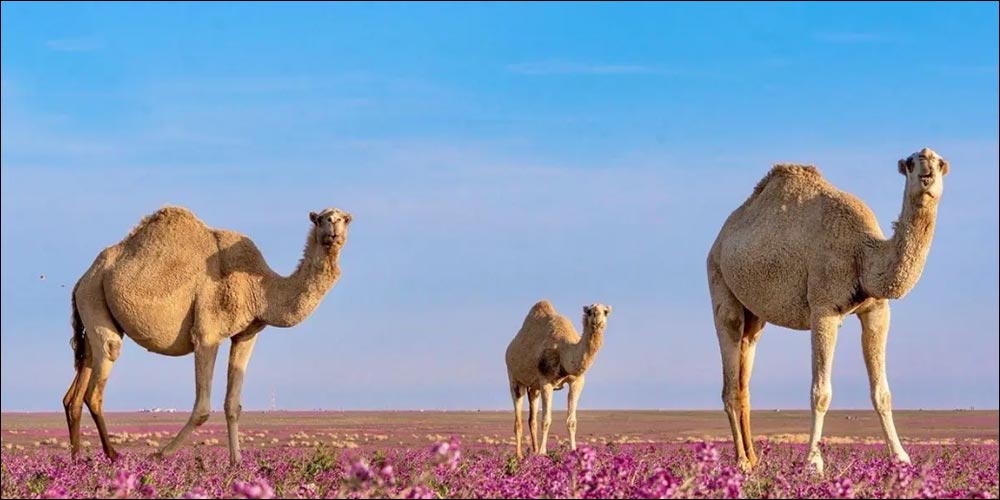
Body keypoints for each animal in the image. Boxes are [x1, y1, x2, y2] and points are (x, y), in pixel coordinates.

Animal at [62, 205, 352, 465]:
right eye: (321, 219)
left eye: (345, 218)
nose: (333, 226)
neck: (261, 289)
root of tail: (82, 278)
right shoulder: (207, 333)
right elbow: (202, 408)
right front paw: (159, 454)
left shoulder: (246, 334)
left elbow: (233, 405)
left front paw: (237, 463)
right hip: (94, 295)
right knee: (98, 380)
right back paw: (112, 456)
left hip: (92, 305)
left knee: (75, 390)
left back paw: (77, 460)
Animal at [505, 300, 612, 459]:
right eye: (590, 311)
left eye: (606, 311)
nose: (598, 321)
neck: (564, 352)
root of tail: (509, 349)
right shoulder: (546, 382)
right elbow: (546, 420)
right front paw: (543, 452)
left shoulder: (577, 382)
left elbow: (571, 421)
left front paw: (573, 450)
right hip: (514, 377)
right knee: (518, 417)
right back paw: (519, 455)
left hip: (534, 388)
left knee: (532, 419)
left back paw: (533, 452)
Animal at [706, 148, 949, 474]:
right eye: (911, 163)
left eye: (939, 162)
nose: (926, 172)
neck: (863, 253)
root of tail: (719, 240)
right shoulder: (823, 309)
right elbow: (820, 392)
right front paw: (813, 462)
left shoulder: (877, 309)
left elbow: (882, 392)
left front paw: (900, 458)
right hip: (719, 280)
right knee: (730, 370)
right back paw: (742, 463)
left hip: (754, 315)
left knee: (745, 369)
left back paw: (755, 458)